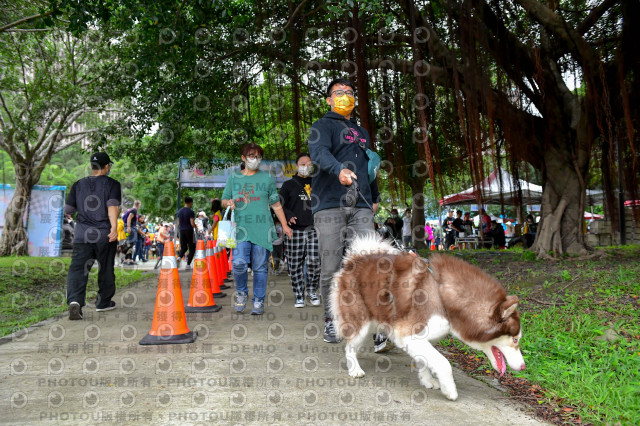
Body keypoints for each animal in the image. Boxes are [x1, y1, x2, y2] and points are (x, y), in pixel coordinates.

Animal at [330, 235, 524, 402]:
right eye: (515, 339)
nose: (523, 367)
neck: (443, 295)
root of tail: (355, 259)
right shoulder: (408, 334)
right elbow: (443, 363)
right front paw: (450, 390)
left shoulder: (422, 337)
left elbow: (424, 361)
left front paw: (427, 380)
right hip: (360, 322)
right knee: (349, 346)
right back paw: (354, 369)